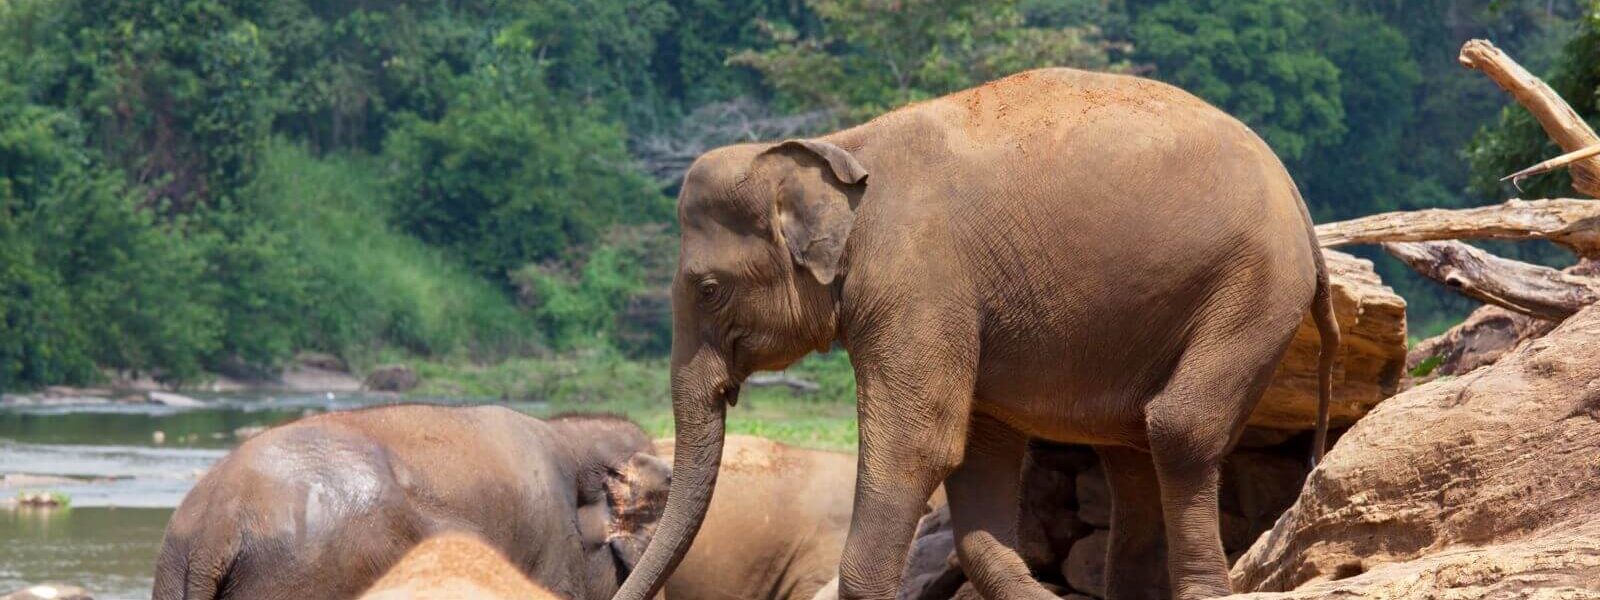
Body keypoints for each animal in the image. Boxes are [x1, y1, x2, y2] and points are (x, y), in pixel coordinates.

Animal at [617, 65, 1344, 600]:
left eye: (708, 290)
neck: (839, 146)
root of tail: (1300, 203)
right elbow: (975, 455)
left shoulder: (919, 281)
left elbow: (919, 447)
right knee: (1135, 452)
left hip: (1251, 289)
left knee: (1177, 428)